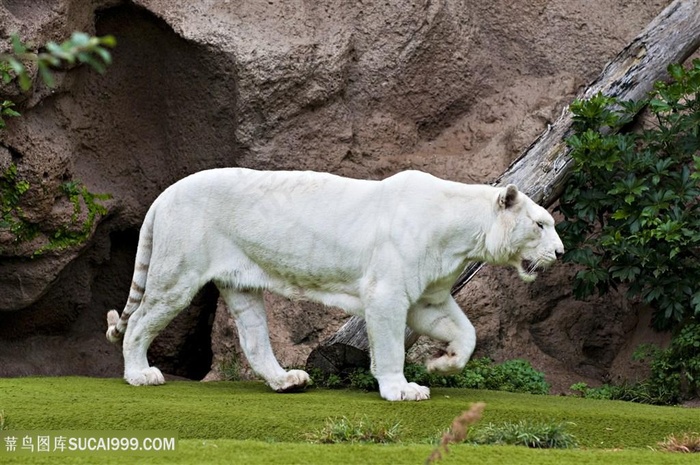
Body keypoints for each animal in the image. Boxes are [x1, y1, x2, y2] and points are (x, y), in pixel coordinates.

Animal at [105, 169, 564, 400]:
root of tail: (165, 193)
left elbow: (467, 333)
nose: (560, 253)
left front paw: (442, 365)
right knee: (139, 321)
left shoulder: (428, 298)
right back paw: (140, 375)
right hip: (177, 275)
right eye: (541, 224)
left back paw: (287, 380)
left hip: (242, 284)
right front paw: (401, 389)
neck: (465, 237)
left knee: (253, 339)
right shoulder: (388, 292)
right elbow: (391, 346)